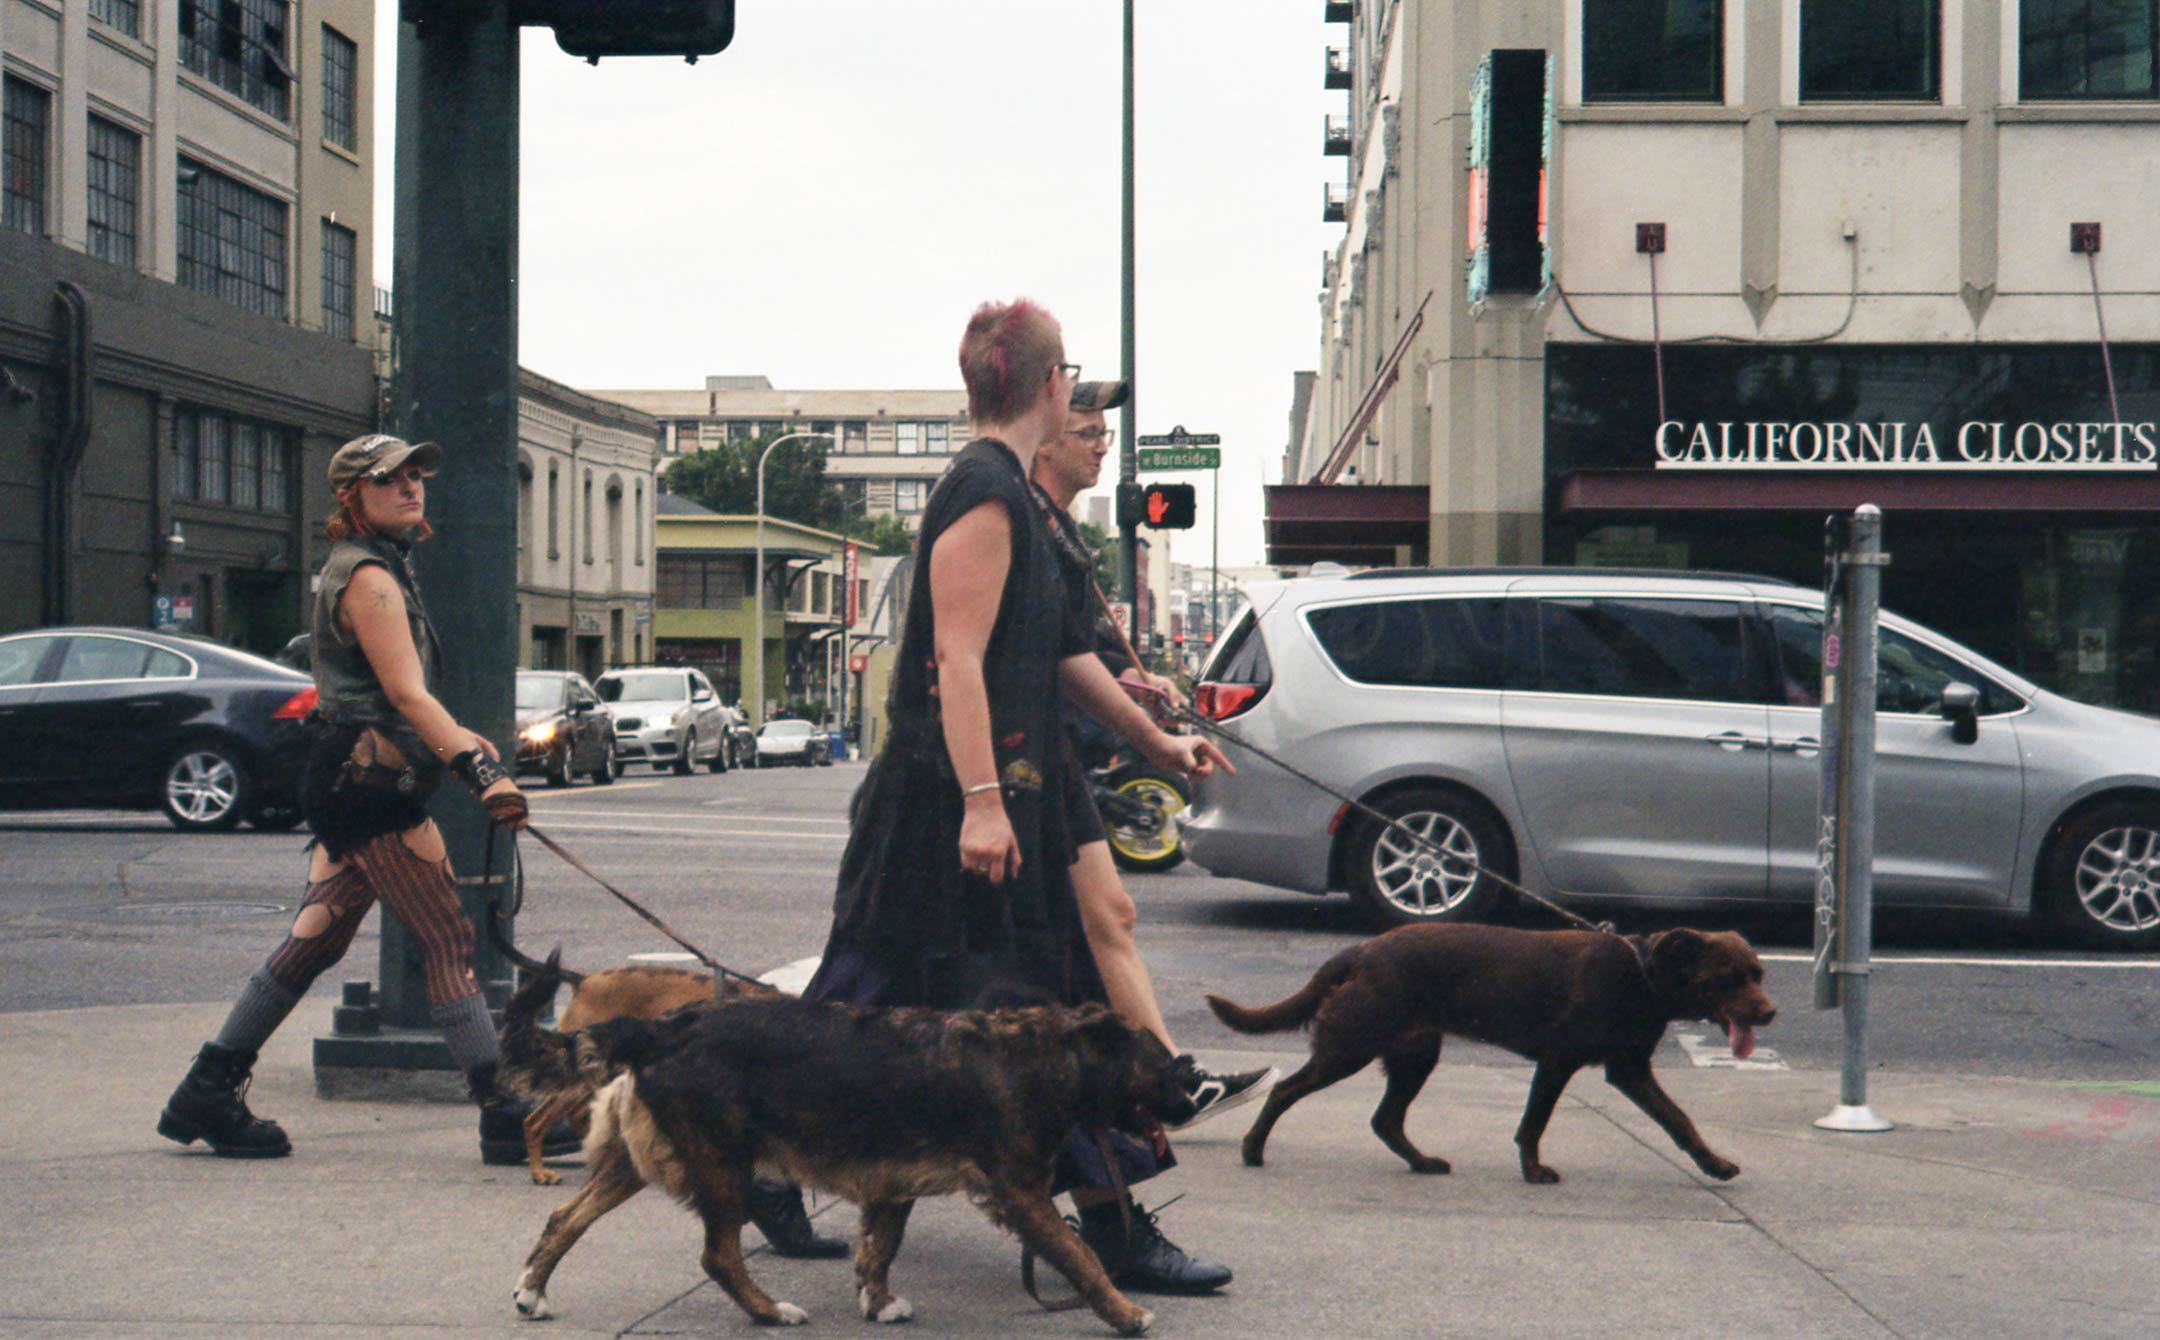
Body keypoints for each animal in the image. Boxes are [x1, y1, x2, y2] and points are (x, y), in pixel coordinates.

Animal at [496, 959, 1192, 1331]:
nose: (1192, 1096)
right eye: (1160, 1067)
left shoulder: (893, 1182)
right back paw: (771, 1311)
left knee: (565, 1218)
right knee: (718, 1256)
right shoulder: (1020, 1193)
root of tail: (664, 1027)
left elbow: (880, 1248)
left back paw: (532, 1291)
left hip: (636, 1162)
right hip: (722, 1164)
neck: (1042, 1054)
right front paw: (1126, 1314)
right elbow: (1082, 1258)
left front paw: (878, 1301)